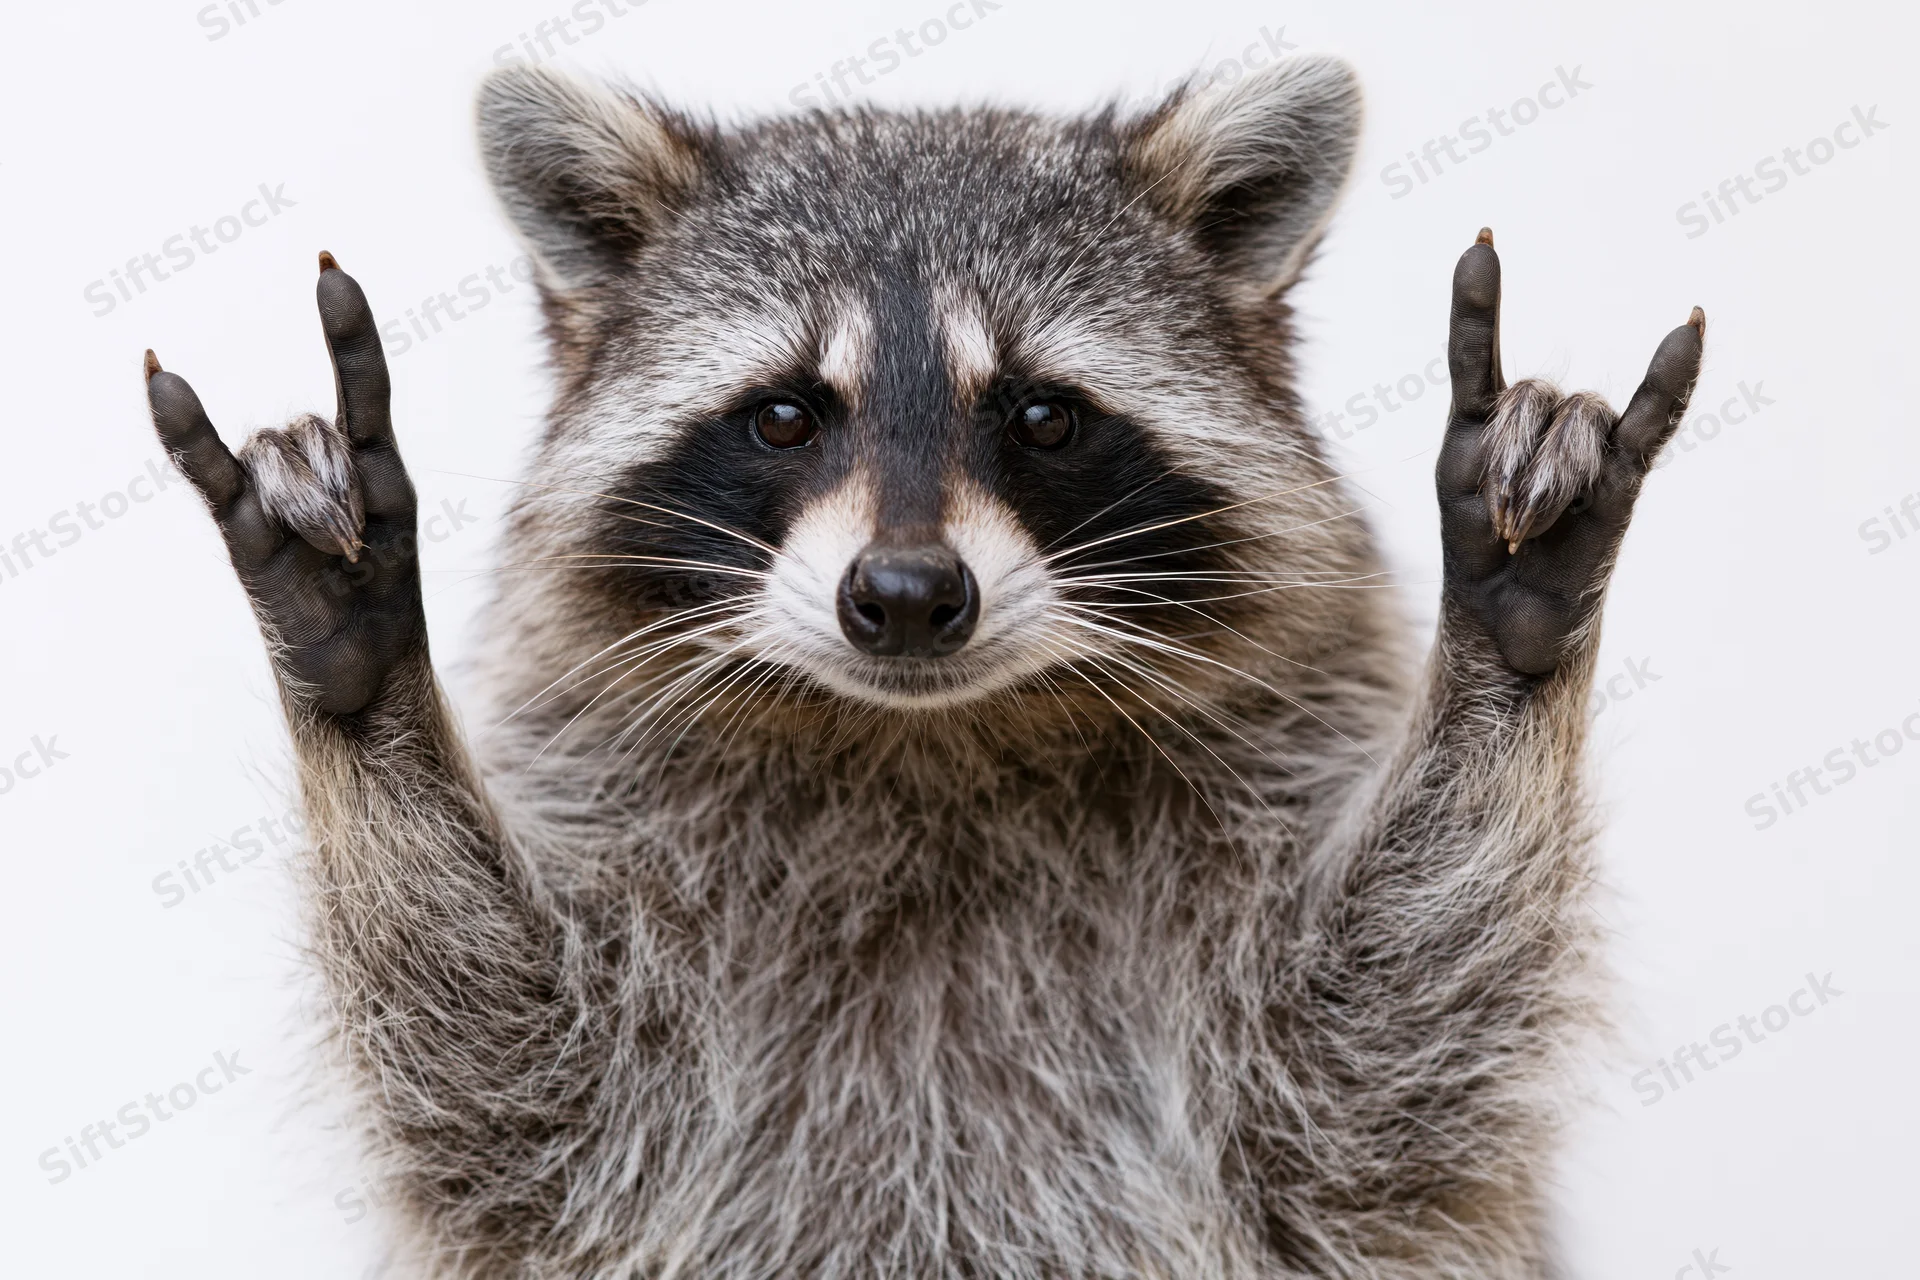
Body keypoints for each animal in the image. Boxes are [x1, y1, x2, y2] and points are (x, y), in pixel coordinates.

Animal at [144, 53, 1704, 1280]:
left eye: (1042, 416)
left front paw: (1507, 641)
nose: (903, 599)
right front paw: (361, 666)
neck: (927, 741)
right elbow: (513, 1086)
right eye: (785, 415)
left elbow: (1380, 1074)